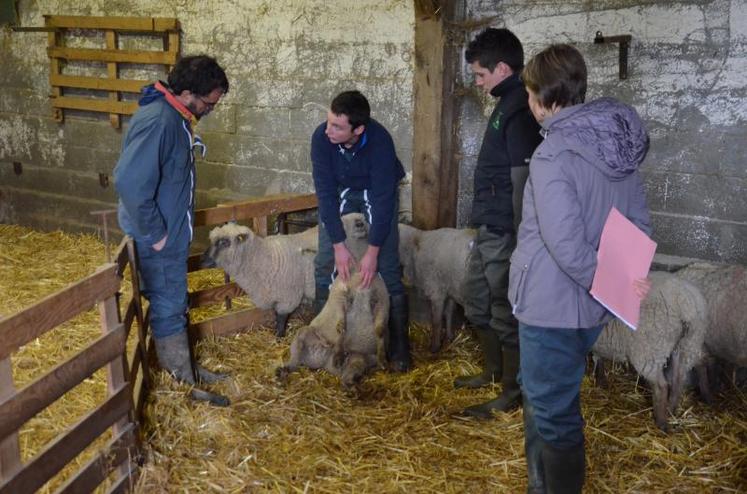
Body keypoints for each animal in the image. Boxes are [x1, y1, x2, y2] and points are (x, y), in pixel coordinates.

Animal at [203, 212, 370, 336]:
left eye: (224, 242)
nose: (202, 261)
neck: (262, 257)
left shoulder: (288, 297)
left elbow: (281, 317)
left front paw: (279, 336)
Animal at [400, 222, 476, 354]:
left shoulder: (436, 292)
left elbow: (436, 321)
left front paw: (434, 347)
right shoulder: (449, 289)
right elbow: (449, 313)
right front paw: (449, 338)